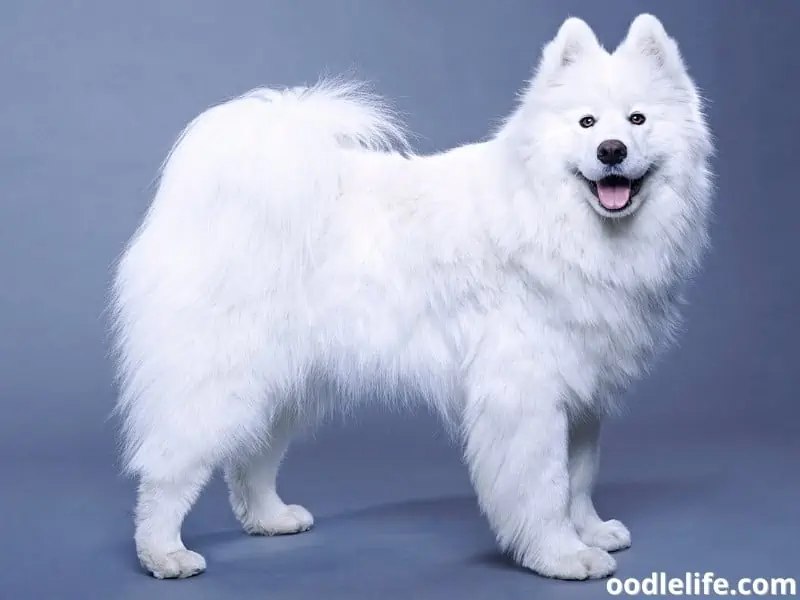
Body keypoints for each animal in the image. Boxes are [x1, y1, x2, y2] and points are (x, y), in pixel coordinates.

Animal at [111, 15, 712, 580]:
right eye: (586, 123)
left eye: (637, 120)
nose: (611, 151)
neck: (554, 221)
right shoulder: (526, 396)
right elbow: (545, 487)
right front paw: (562, 555)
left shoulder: (584, 391)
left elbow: (580, 478)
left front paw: (591, 531)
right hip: (219, 381)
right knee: (168, 470)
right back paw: (163, 553)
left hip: (284, 383)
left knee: (251, 460)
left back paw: (270, 518)